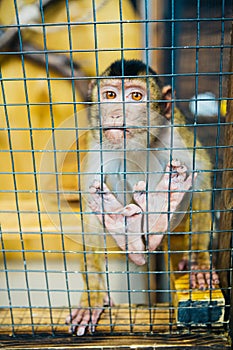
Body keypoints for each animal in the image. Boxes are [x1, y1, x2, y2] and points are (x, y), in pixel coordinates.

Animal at [65, 59, 218, 336]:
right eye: (110, 95)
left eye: (136, 96)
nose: (116, 114)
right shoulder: (98, 145)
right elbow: (90, 210)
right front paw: (92, 295)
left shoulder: (174, 132)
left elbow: (201, 177)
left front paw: (199, 259)